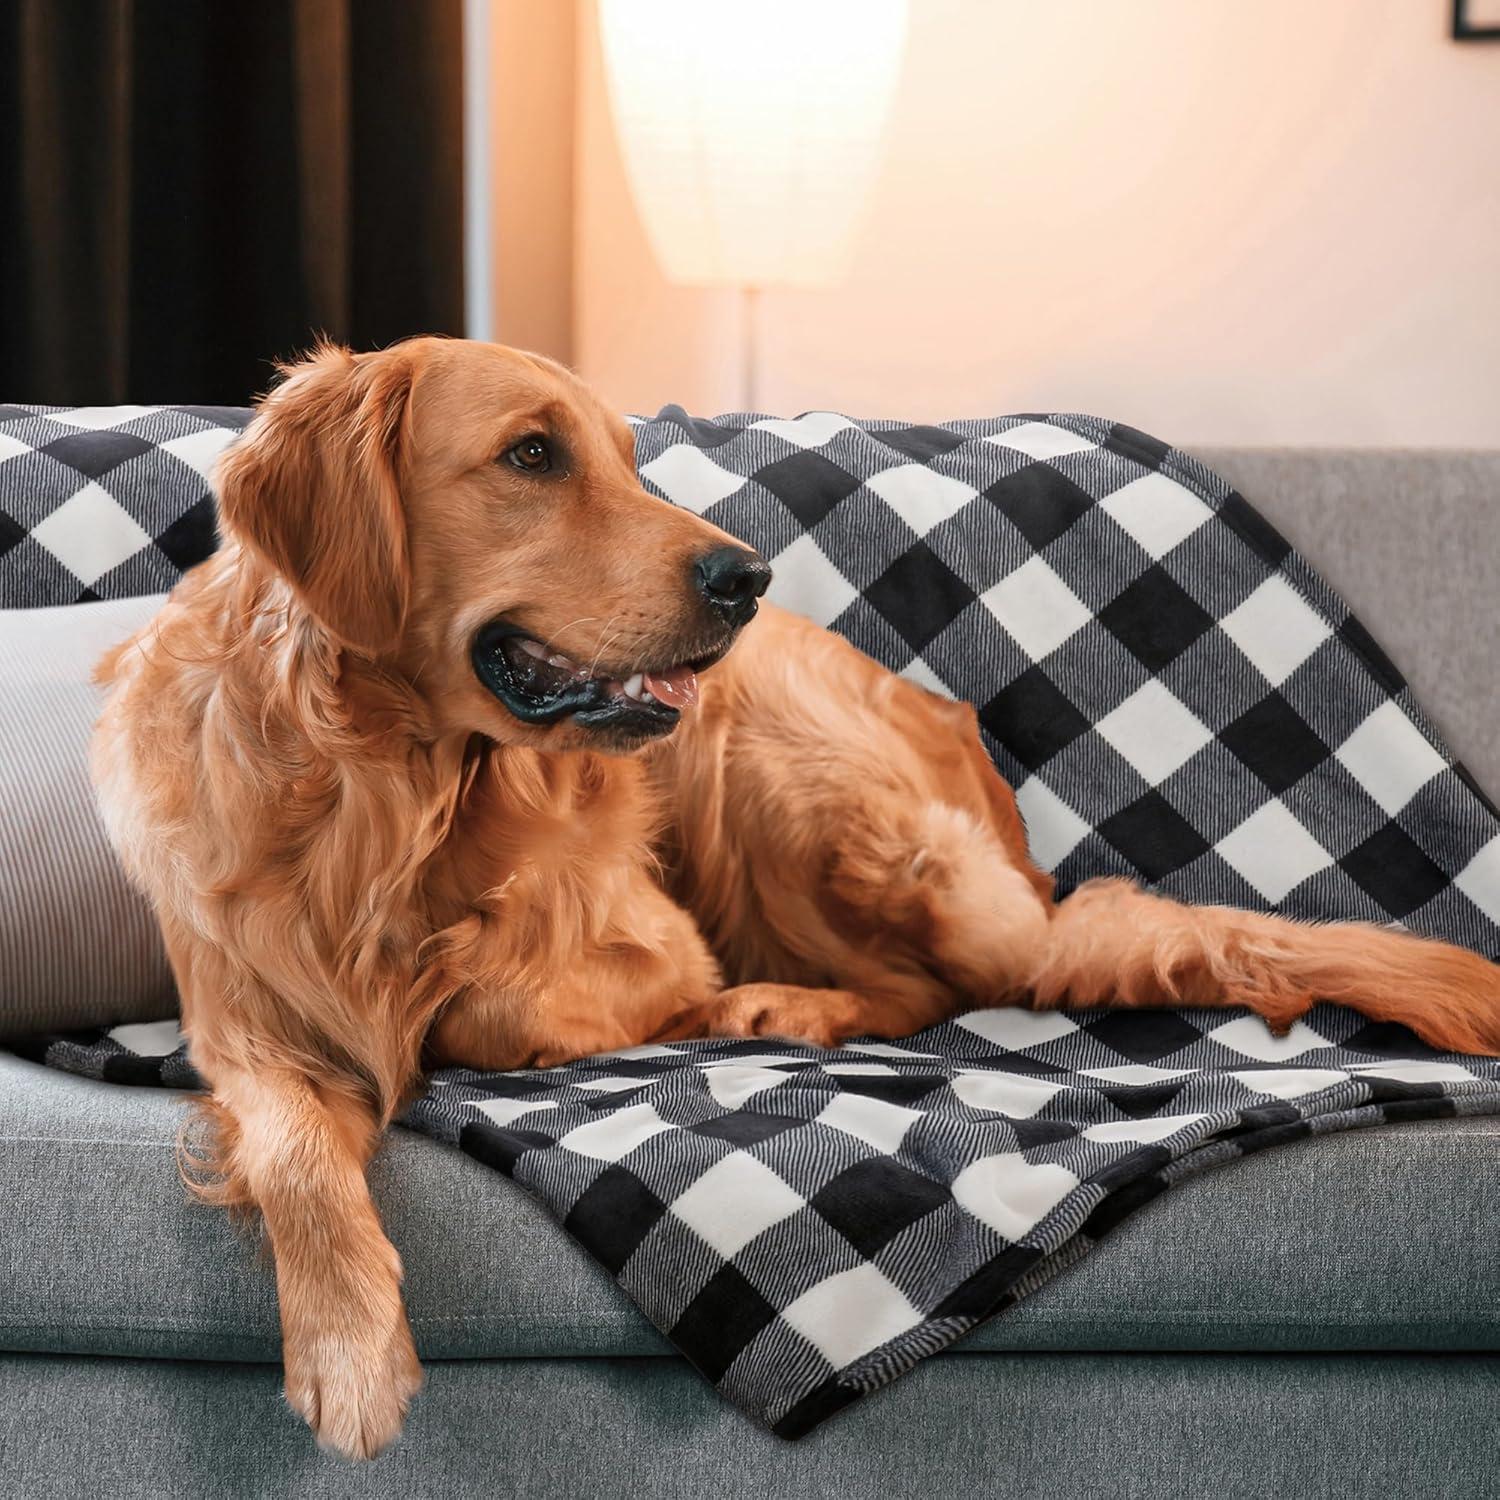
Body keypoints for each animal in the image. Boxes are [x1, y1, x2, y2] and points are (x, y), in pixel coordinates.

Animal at [90, 337, 1500, 1452]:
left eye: (628, 456)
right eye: (532, 455)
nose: (745, 578)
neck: (389, 802)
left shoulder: (650, 941)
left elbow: (490, 1007)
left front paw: (492, 1024)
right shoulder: (233, 1009)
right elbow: (293, 1137)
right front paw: (349, 1353)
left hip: (770, 765)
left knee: (936, 982)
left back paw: (780, 1007)